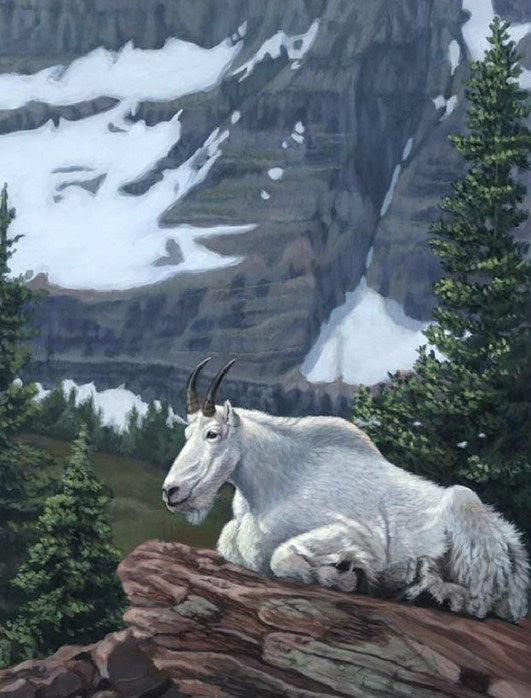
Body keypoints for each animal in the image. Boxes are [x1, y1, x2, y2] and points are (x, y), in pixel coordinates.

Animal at [162, 358, 529, 621]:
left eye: (212, 433)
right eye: (186, 434)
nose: (171, 491)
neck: (278, 484)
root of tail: (512, 545)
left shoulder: (357, 535)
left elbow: (283, 557)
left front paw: (347, 575)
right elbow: (230, 541)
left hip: (464, 508)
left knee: (481, 600)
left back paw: (434, 595)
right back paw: (419, 580)